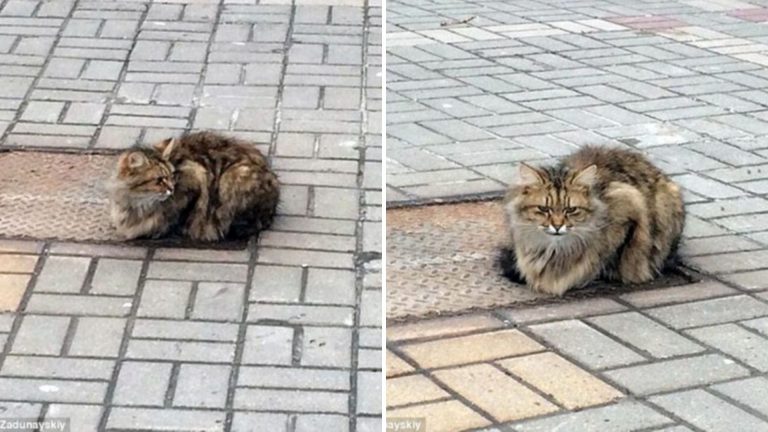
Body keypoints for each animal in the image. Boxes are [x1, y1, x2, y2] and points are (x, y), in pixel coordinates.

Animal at [106, 130, 278, 241]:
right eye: (159, 179)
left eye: (172, 175)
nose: (171, 189)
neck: (137, 203)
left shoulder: (196, 178)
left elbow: (178, 216)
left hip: (233, 178)